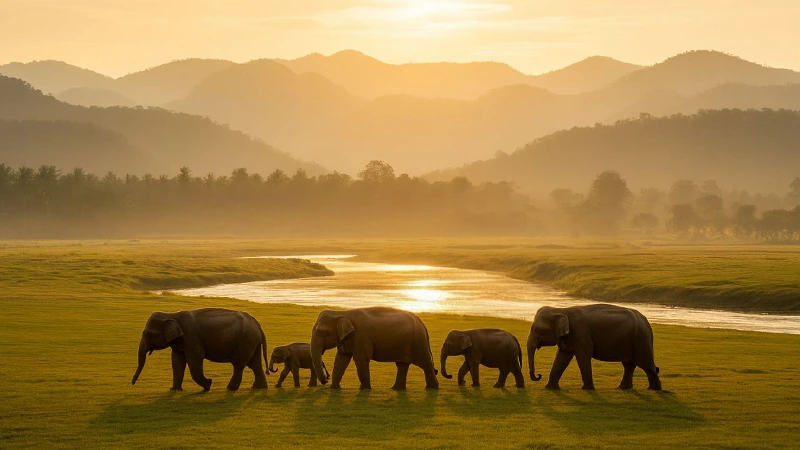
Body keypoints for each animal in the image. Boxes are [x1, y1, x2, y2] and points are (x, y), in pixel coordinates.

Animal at [131, 308, 269, 392]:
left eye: (149, 334)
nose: (132, 382)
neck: (171, 314)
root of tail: (258, 325)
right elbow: (177, 362)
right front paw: (174, 390)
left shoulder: (190, 336)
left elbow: (195, 359)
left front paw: (208, 385)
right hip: (252, 341)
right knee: (254, 364)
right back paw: (258, 388)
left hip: (245, 340)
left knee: (239, 364)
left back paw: (230, 388)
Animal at [310, 307, 439, 390]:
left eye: (322, 332)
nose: (326, 380)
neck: (343, 313)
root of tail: (422, 324)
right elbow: (341, 359)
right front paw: (334, 388)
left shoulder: (361, 336)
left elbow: (361, 359)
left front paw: (364, 389)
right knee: (402, 365)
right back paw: (396, 389)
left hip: (418, 341)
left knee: (425, 363)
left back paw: (432, 388)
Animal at [527, 304, 662, 390]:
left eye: (539, 330)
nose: (538, 375)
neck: (562, 310)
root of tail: (647, 322)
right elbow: (562, 357)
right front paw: (550, 388)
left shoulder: (581, 334)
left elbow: (583, 356)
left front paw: (587, 389)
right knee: (629, 365)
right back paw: (623, 388)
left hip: (641, 340)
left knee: (647, 366)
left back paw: (654, 390)